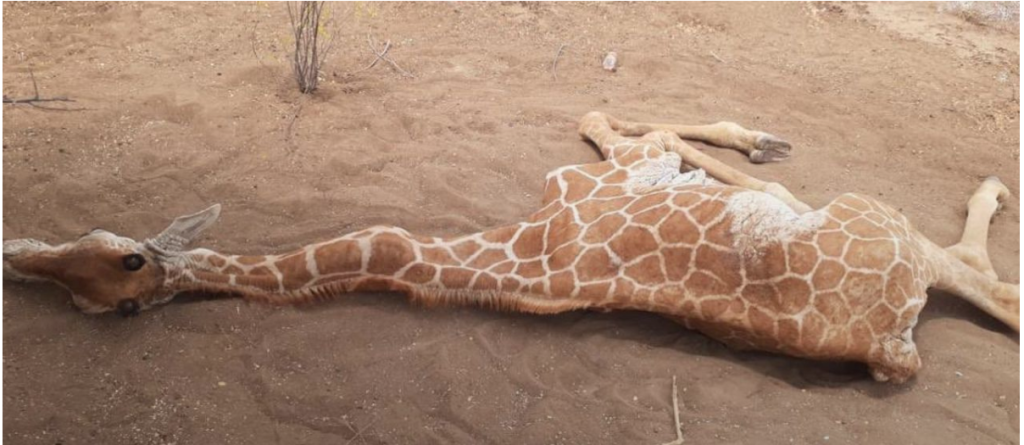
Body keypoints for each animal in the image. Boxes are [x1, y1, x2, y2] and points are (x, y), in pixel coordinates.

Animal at [2, 112, 1018, 386]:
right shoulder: (604, 175)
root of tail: (885, 341)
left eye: (121, 260)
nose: (19, 257)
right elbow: (622, 125)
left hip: (869, 214)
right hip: (880, 222)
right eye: (98, 300)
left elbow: (622, 125)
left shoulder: (592, 178)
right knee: (986, 280)